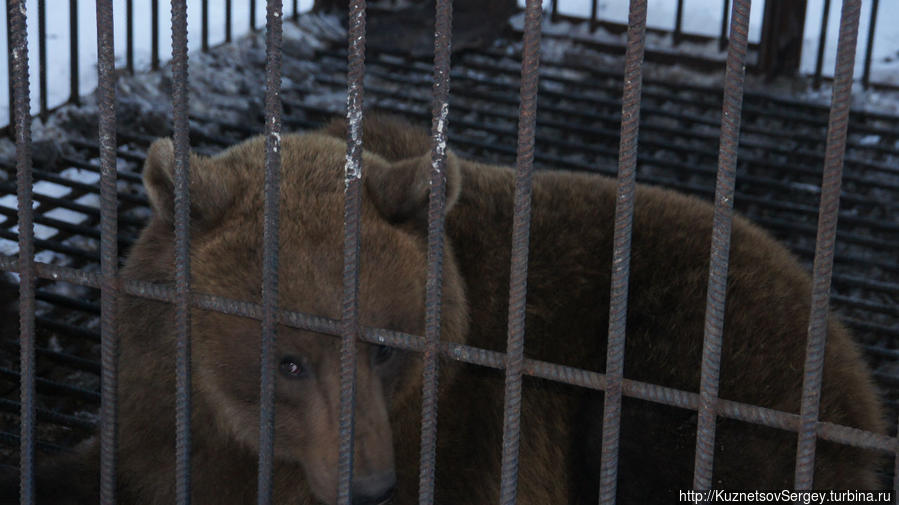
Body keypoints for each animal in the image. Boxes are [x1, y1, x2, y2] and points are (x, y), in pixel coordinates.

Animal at [5, 114, 884, 504]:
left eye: (386, 344)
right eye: (288, 359)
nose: (370, 483)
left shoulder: (468, 427)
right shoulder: (156, 411)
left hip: (704, 351)